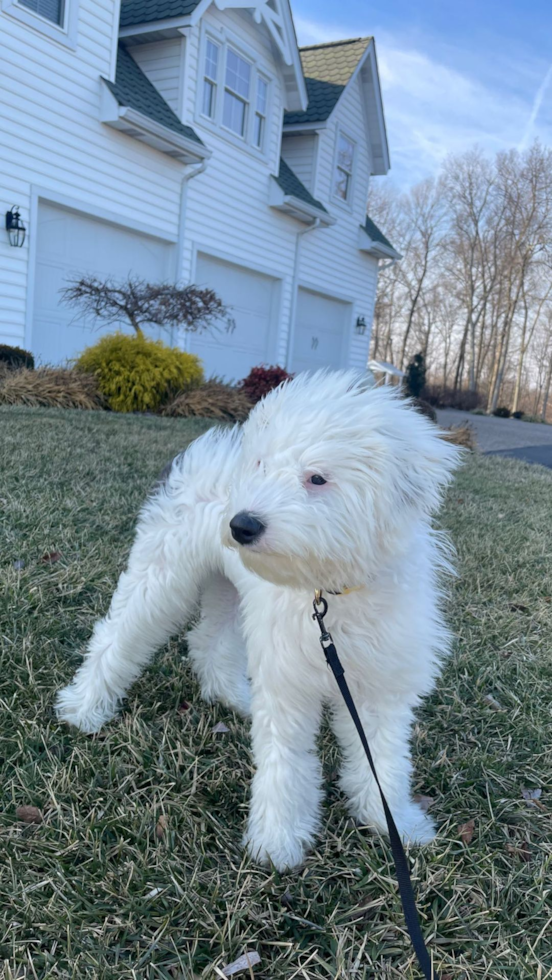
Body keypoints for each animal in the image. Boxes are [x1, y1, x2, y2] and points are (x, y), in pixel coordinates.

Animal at [57, 372, 462, 868]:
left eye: (317, 477)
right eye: (262, 466)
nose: (242, 525)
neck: (329, 593)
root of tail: (208, 450)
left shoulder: (380, 685)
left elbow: (384, 760)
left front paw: (395, 822)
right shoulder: (288, 682)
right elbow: (285, 763)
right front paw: (278, 840)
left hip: (231, 591)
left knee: (208, 642)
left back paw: (234, 698)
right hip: (162, 577)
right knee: (118, 636)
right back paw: (84, 707)